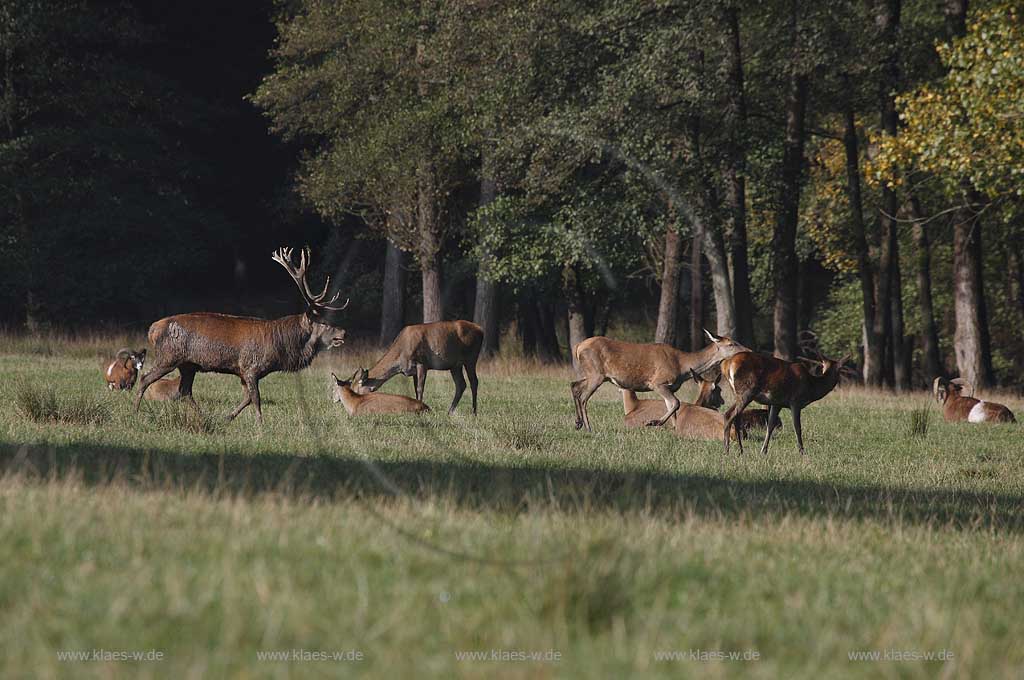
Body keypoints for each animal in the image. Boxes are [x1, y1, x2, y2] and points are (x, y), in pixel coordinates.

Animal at [134, 246, 350, 421]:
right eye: (324, 323)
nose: (344, 332)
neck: (280, 347)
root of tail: (152, 329)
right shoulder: (250, 367)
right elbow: (256, 399)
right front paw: (261, 427)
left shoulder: (243, 372)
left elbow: (247, 398)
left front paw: (227, 418)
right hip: (169, 357)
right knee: (145, 379)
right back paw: (135, 412)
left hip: (188, 364)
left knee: (185, 390)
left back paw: (204, 417)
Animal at [573, 329, 749, 430]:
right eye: (732, 344)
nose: (748, 350)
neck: (682, 366)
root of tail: (578, 347)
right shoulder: (658, 382)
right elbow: (676, 403)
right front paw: (654, 422)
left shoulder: (669, 387)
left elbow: (673, 406)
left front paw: (675, 431)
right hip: (596, 374)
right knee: (583, 397)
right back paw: (588, 427)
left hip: (591, 374)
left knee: (574, 386)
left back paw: (578, 422)